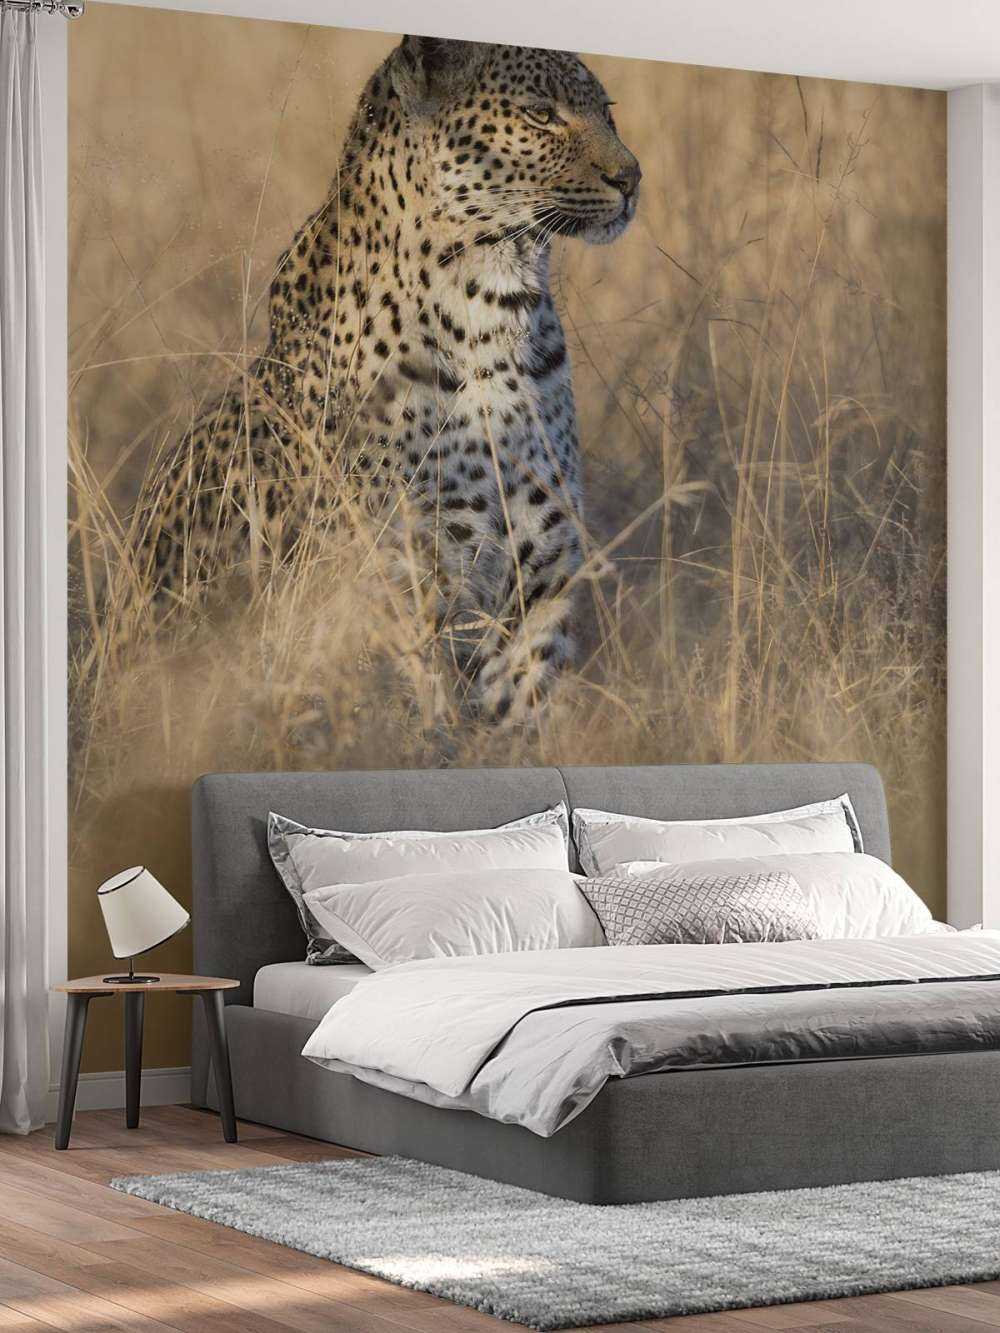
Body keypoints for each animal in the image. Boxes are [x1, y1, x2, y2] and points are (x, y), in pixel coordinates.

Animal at [133, 35, 640, 720]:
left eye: (606, 111)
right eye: (541, 115)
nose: (632, 177)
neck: (498, 308)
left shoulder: (545, 578)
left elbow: (520, 712)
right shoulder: (399, 580)